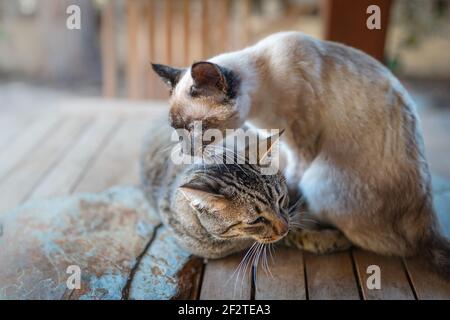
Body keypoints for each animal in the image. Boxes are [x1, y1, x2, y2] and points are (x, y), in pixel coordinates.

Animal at [152, 31, 450, 278]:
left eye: (193, 128)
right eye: (177, 129)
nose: (186, 152)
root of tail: (429, 223)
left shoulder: (301, 149)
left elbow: (288, 185)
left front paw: (288, 206)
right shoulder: (277, 140)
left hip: (318, 177)